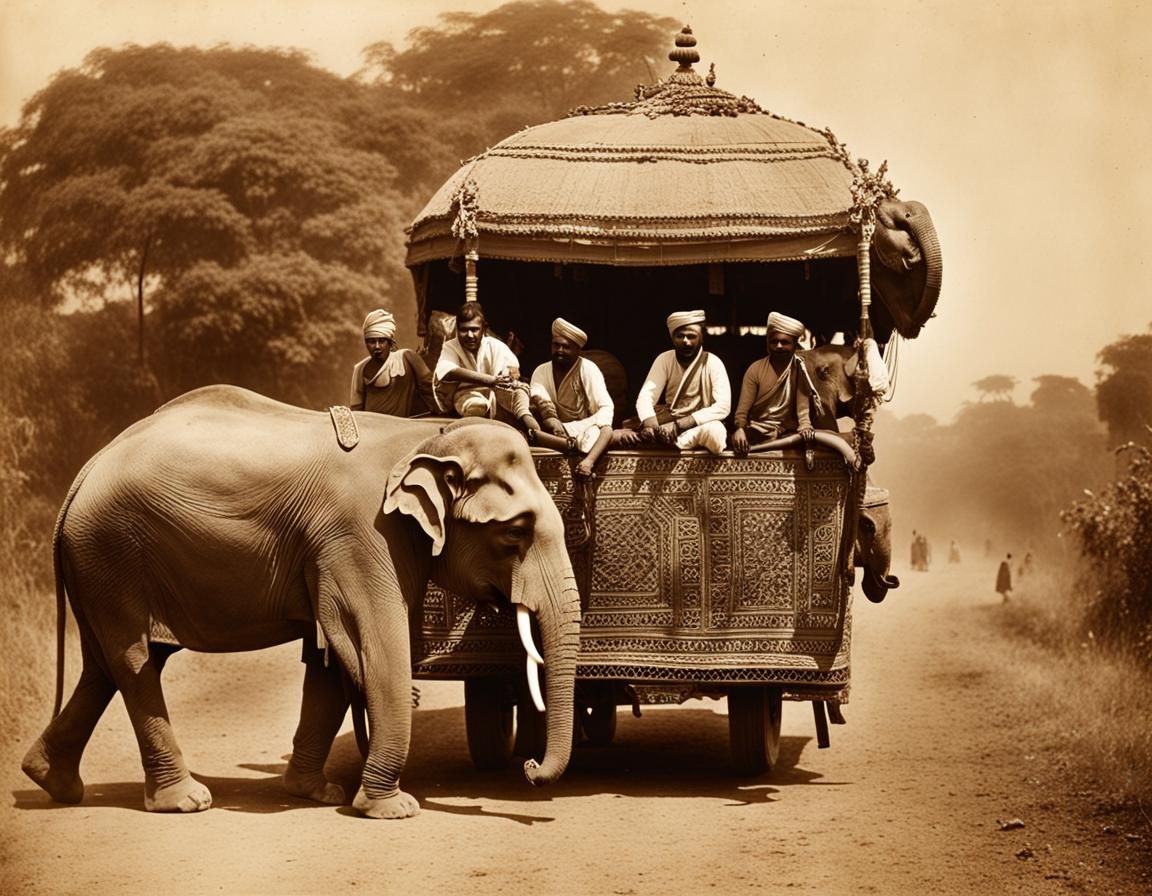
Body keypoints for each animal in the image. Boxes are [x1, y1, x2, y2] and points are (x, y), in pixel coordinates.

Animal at [21, 384, 581, 819]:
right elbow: (373, 643)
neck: (425, 436)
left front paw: (317, 793)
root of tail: (84, 472)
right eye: (515, 533)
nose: (530, 770)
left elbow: (329, 660)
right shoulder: (362, 536)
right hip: (110, 552)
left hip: (101, 566)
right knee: (134, 660)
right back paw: (185, 801)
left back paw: (52, 782)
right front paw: (392, 809)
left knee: (107, 666)